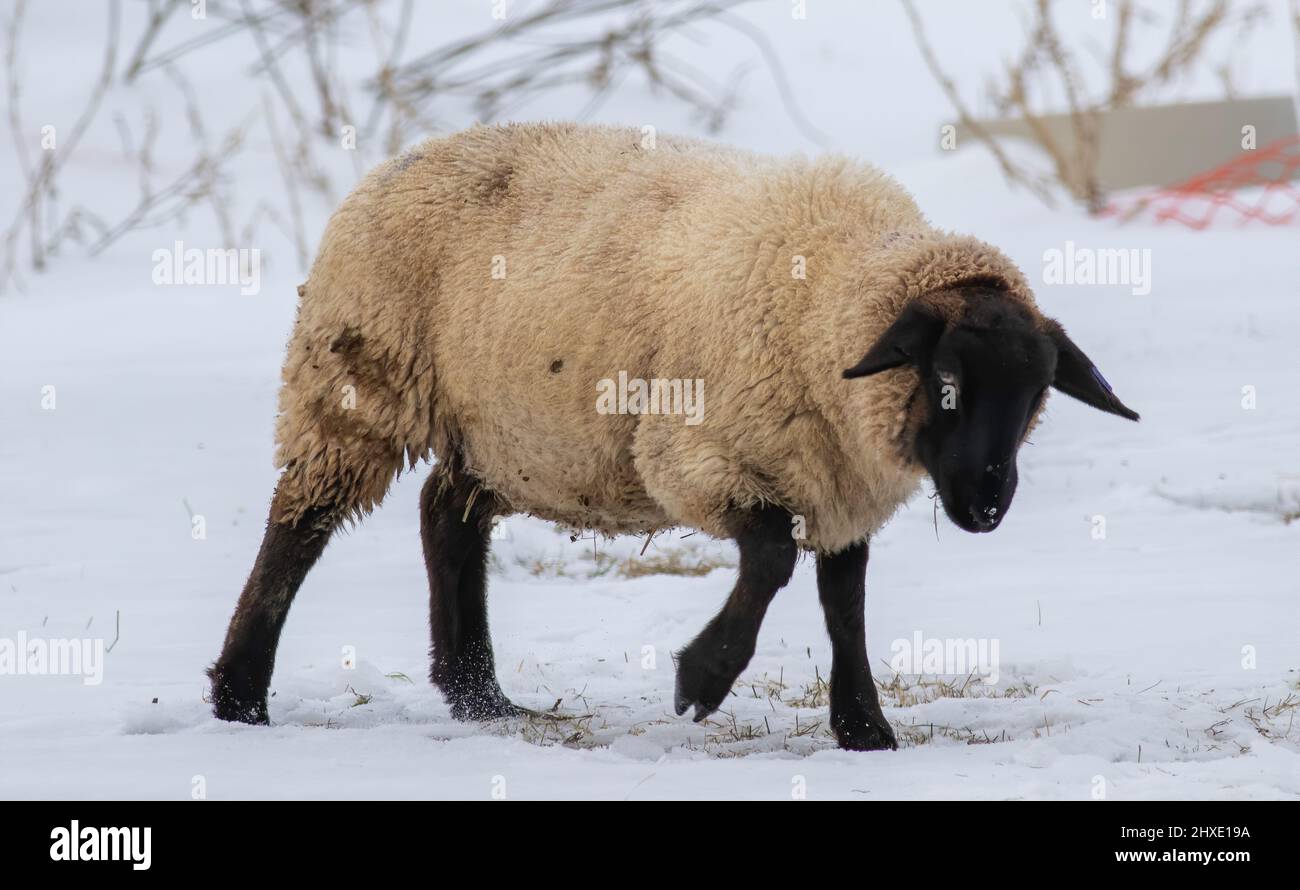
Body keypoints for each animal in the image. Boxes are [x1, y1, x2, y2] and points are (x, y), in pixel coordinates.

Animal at [208, 121, 1133, 748]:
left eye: (1036, 395)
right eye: (945, 382)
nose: (986, 505)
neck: (831, 300)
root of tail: (396, 160)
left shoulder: (834, 478)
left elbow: (845, 602)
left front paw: (864, 730)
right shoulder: (696, 456)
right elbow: (772, 558)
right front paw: (702, 678)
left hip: (500, 424)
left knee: (447, 513)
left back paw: (479, 696)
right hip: (359, 385)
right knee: (298, 526)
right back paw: (241, 697)